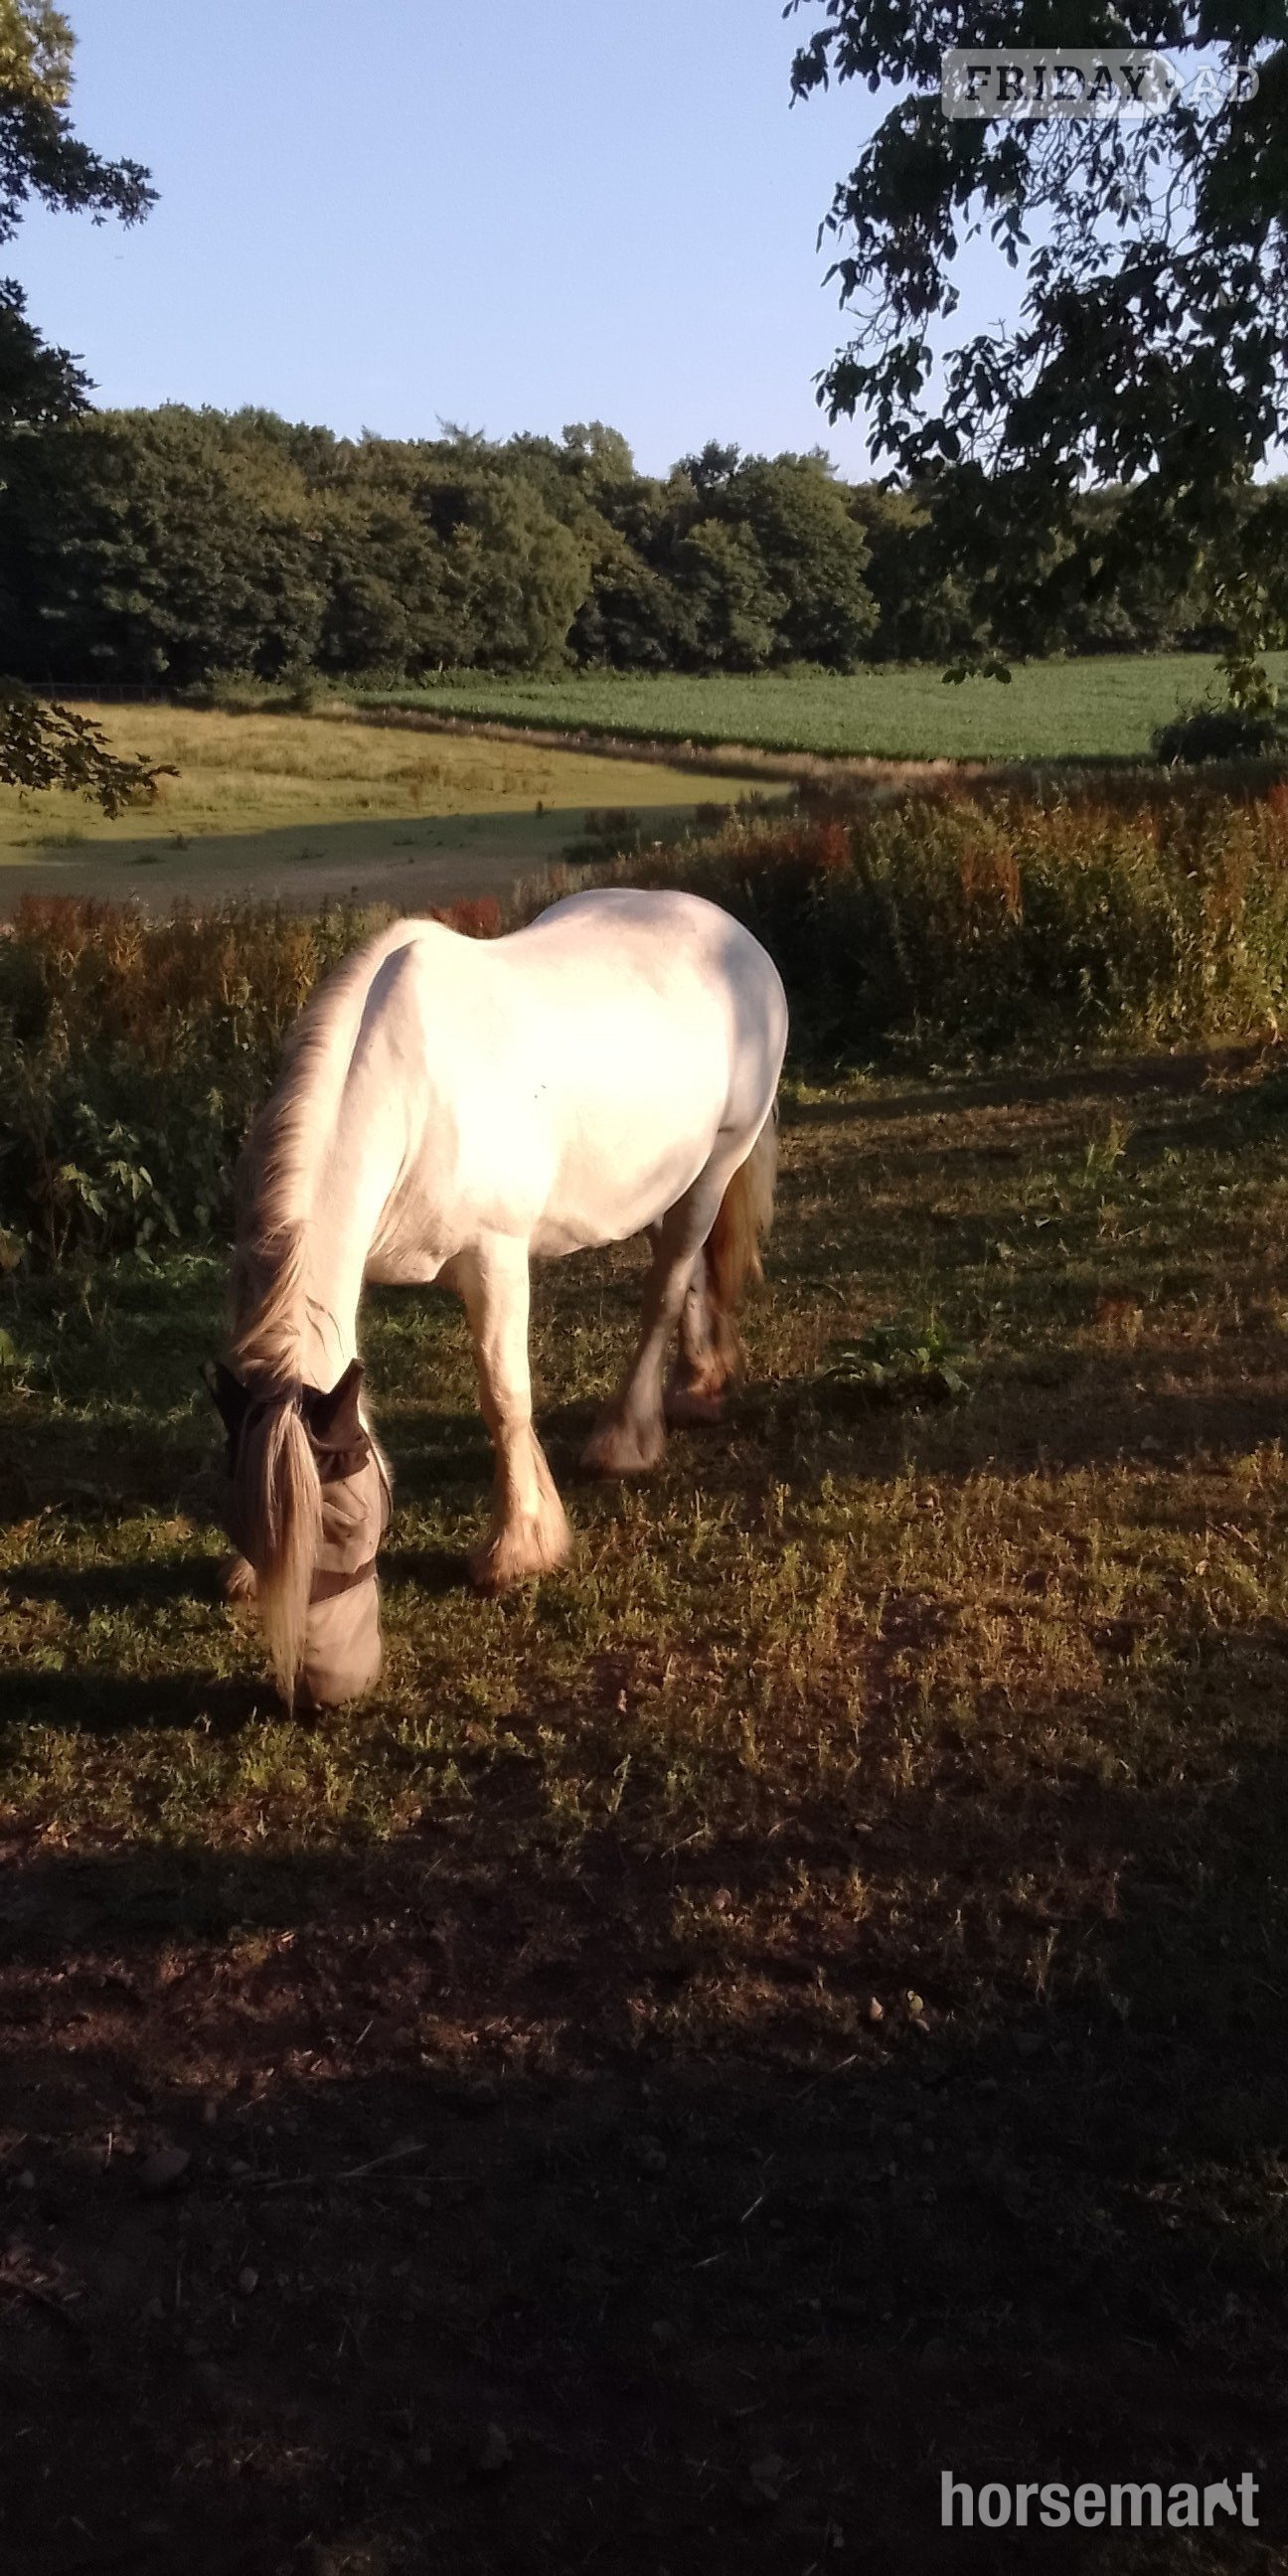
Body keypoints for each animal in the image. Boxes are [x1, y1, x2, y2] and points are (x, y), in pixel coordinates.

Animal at [210, 885, 788, 1710]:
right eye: (237, 1522)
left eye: (349, 1529)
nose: (327, 1689)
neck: (412, 1089)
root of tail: (729, 928)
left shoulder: (496, 1259)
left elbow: (504, 1394)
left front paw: (519, 1545)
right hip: (660, 1182)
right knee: (692, 1276)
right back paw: (699, 1381)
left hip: (718, 1163)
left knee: (667, 1286)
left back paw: (627, 1437)